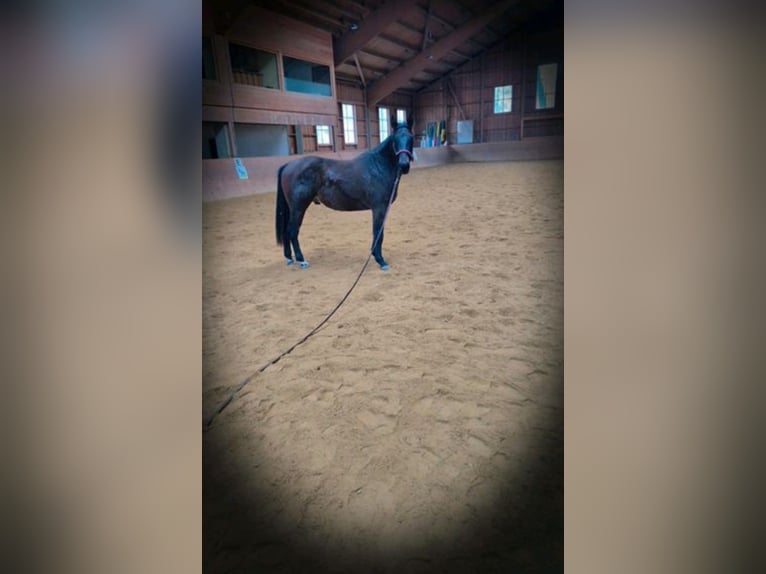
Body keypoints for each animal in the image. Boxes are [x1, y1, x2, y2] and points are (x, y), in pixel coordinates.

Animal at [275, 115, 414, 271]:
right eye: (395, 139)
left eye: (411, 138)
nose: (404, 165)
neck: (378, 166)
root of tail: (288, 165)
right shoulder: (379, 208)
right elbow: (378, 232)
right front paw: (380, 260)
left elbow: (379, 232)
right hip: (298, 208)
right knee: (293, 231)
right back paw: (301, 260)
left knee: (287, 232)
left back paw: (289, 258)